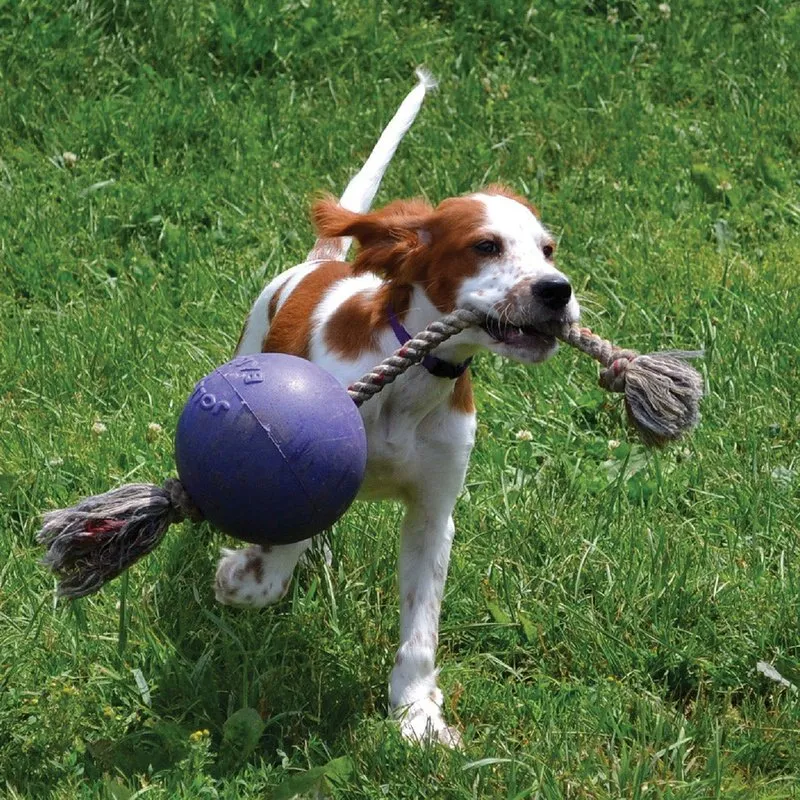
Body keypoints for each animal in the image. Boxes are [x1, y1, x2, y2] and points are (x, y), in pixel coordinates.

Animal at [214, 72, 576, 748]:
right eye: (486, 246)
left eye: (548, 249)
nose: (557, 290)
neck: (408, 383)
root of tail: (322, 263)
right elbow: (276, 552)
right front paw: (245, 576)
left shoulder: (434, 512)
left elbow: (421, 629)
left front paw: (415, 713)